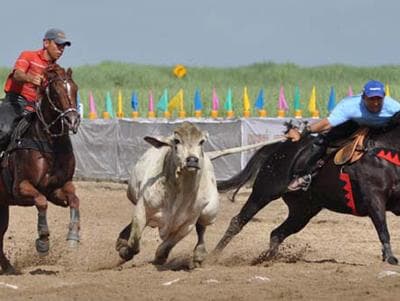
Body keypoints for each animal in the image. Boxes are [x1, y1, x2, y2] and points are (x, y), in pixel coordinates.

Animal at [0, 65, 81, 274]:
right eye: (56, 92)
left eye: (75, 89)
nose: (72, 120)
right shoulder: (20, 188)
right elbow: (41, 202)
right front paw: (43, 242)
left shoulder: (57, 188)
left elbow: (74, 200)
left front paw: (73, 237)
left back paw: (9, 268)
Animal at [116, 120, 219, 266]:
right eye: (176, 141)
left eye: (201, 141)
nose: (192, 160)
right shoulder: (142, 209)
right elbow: (135, 240)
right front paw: (125, 251)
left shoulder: (187, 224)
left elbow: (168, 244)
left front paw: (160, 257)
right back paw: (121, 241)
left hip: (209, 213)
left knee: (201, 228)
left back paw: (199, 254)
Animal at [214, 117, 400, 264]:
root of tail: (278, 148)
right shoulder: (374, 198)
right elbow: (382, 228)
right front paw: (390, 258)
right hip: (264, 192)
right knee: (238, 221)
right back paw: (212, 256)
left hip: (304, 210)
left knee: (277, 233)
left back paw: (267, 259)